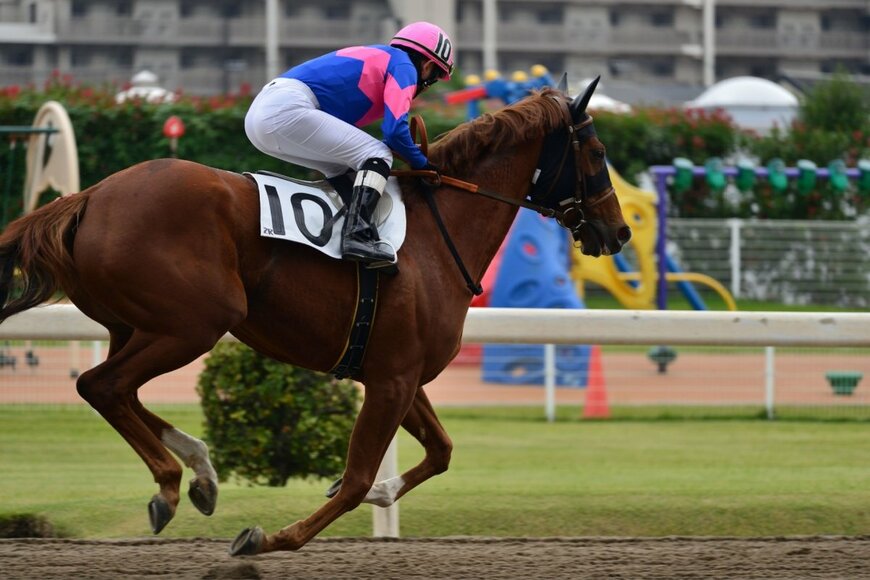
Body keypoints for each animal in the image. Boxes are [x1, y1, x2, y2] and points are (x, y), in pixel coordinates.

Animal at [0, 79, 630, 555]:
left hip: (137, 326)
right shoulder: (392, 379)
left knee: (118, 390)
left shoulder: (397, 374)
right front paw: (268, 538)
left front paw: (380, 495)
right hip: (194, 323)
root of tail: (89, 197)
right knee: (101, 385)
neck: (437, 233)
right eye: (599, 154)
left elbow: (440, 451)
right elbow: (354, 480)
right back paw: (172, 485)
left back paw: (199, 472)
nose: (619, 231)